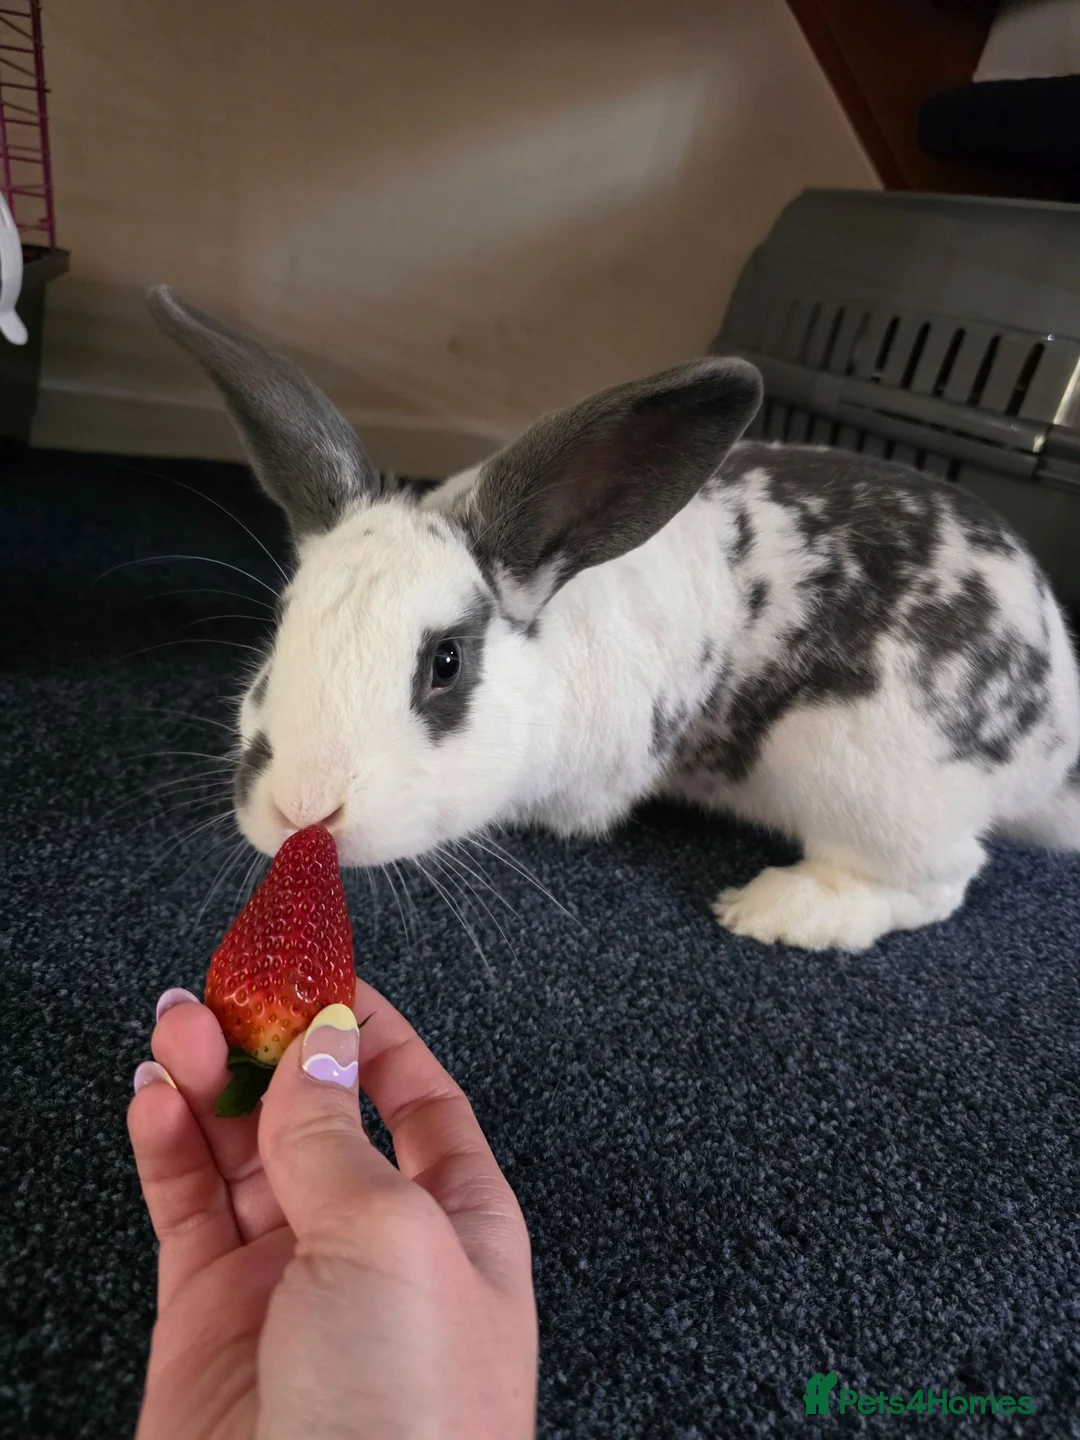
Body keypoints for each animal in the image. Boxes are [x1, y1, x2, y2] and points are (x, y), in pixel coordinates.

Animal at [149, 286, 1080, 952]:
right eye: (279, 634)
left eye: (446, 663)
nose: (300, 809)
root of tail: (1054, 731)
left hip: (862, 777)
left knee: (941, 877)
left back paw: (779, 911)